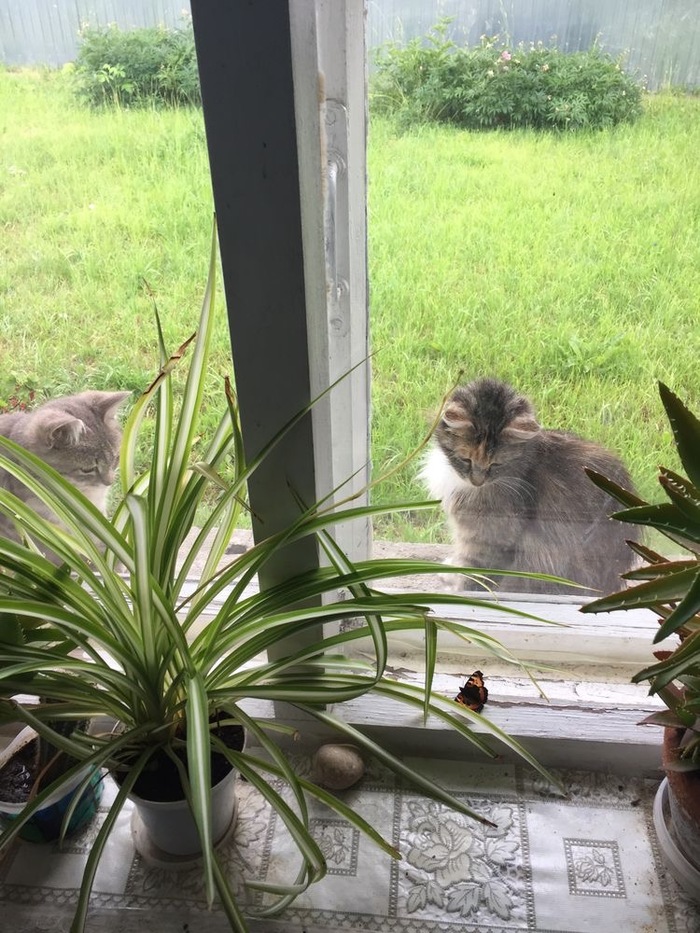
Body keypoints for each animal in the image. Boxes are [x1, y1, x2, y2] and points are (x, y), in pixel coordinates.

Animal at [422, 378, 640, 596]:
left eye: (495, 465)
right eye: (466, 460)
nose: (477, 481)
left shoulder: (490, 536)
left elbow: (476, 574)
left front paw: (458, 589)